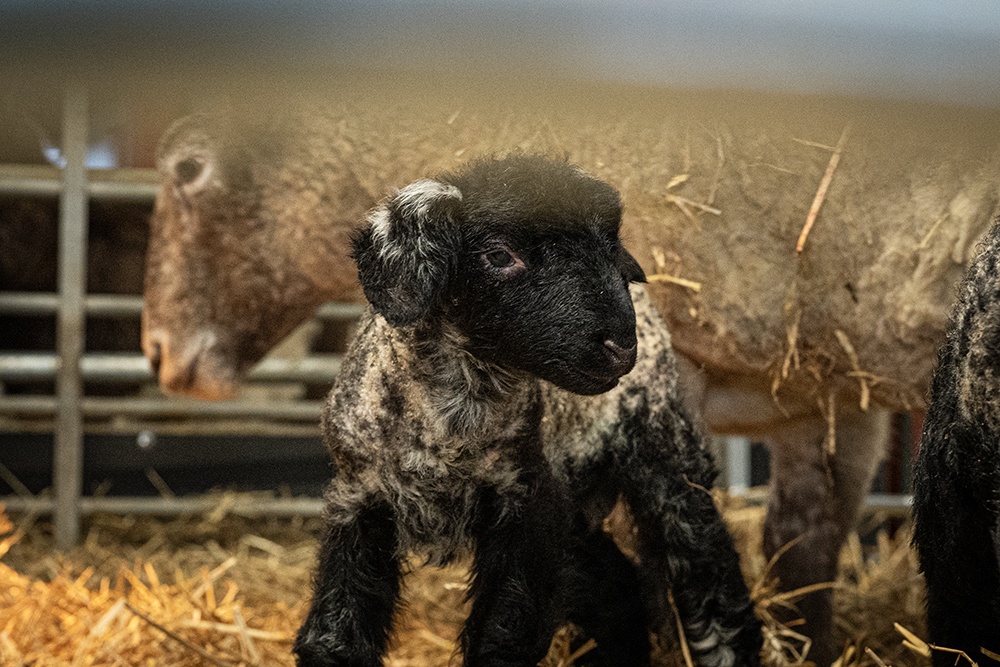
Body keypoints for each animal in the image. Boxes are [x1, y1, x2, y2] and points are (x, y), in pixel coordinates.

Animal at [293, 154, 761, 667]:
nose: (621, 345)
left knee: (712, 579)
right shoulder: (359, 500)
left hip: (667, 456)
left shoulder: (527, 504)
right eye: (500, 256)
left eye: (608, 247)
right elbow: (336, 633)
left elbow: (504, 634)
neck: (450, 426)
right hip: (576, 507)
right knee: (618, 587)